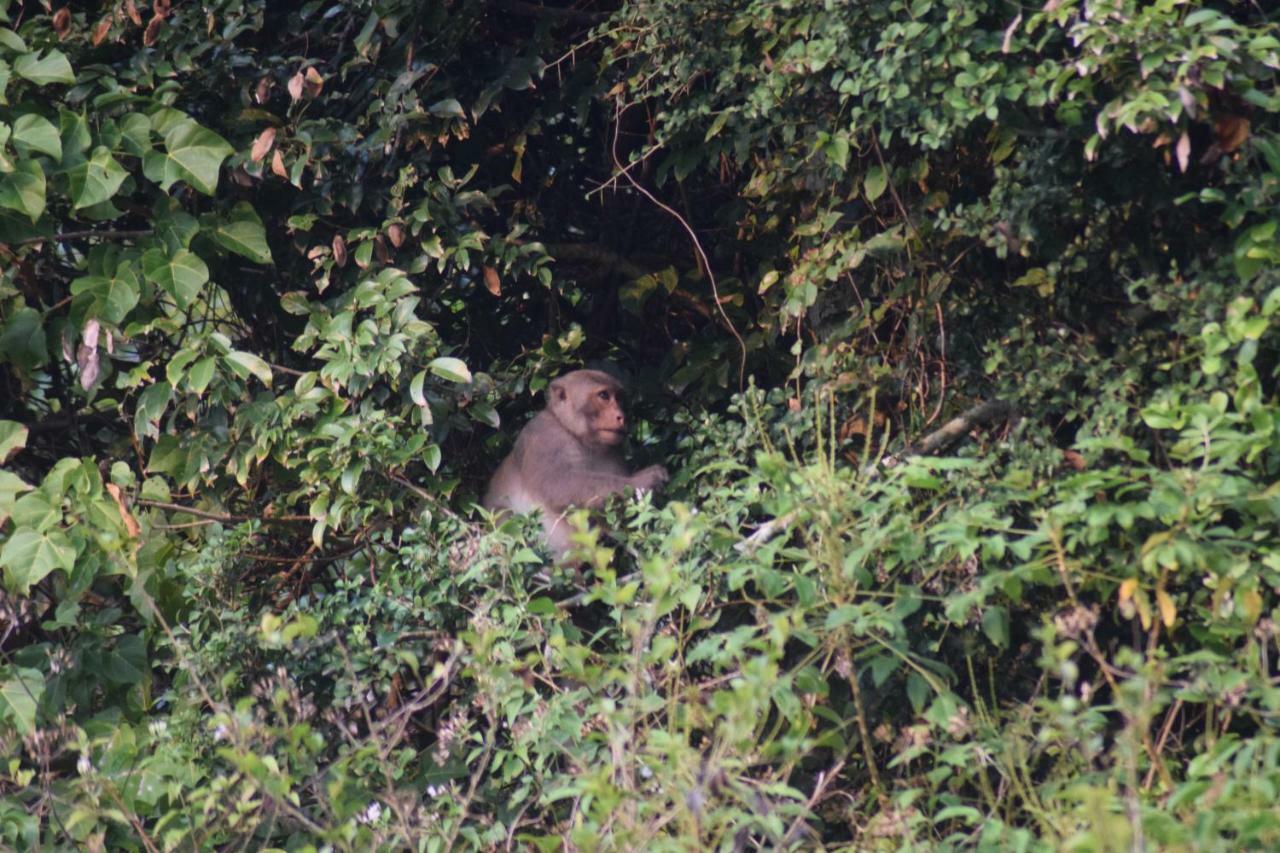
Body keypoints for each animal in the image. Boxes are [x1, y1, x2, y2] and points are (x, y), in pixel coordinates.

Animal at [481, 366, 670, 555]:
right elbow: (557, 486)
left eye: (619, 398)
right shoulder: (543, 438)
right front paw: (642, 480)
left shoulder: (614, 451)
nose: (622, 416)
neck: (574, 434)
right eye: (604, 396)